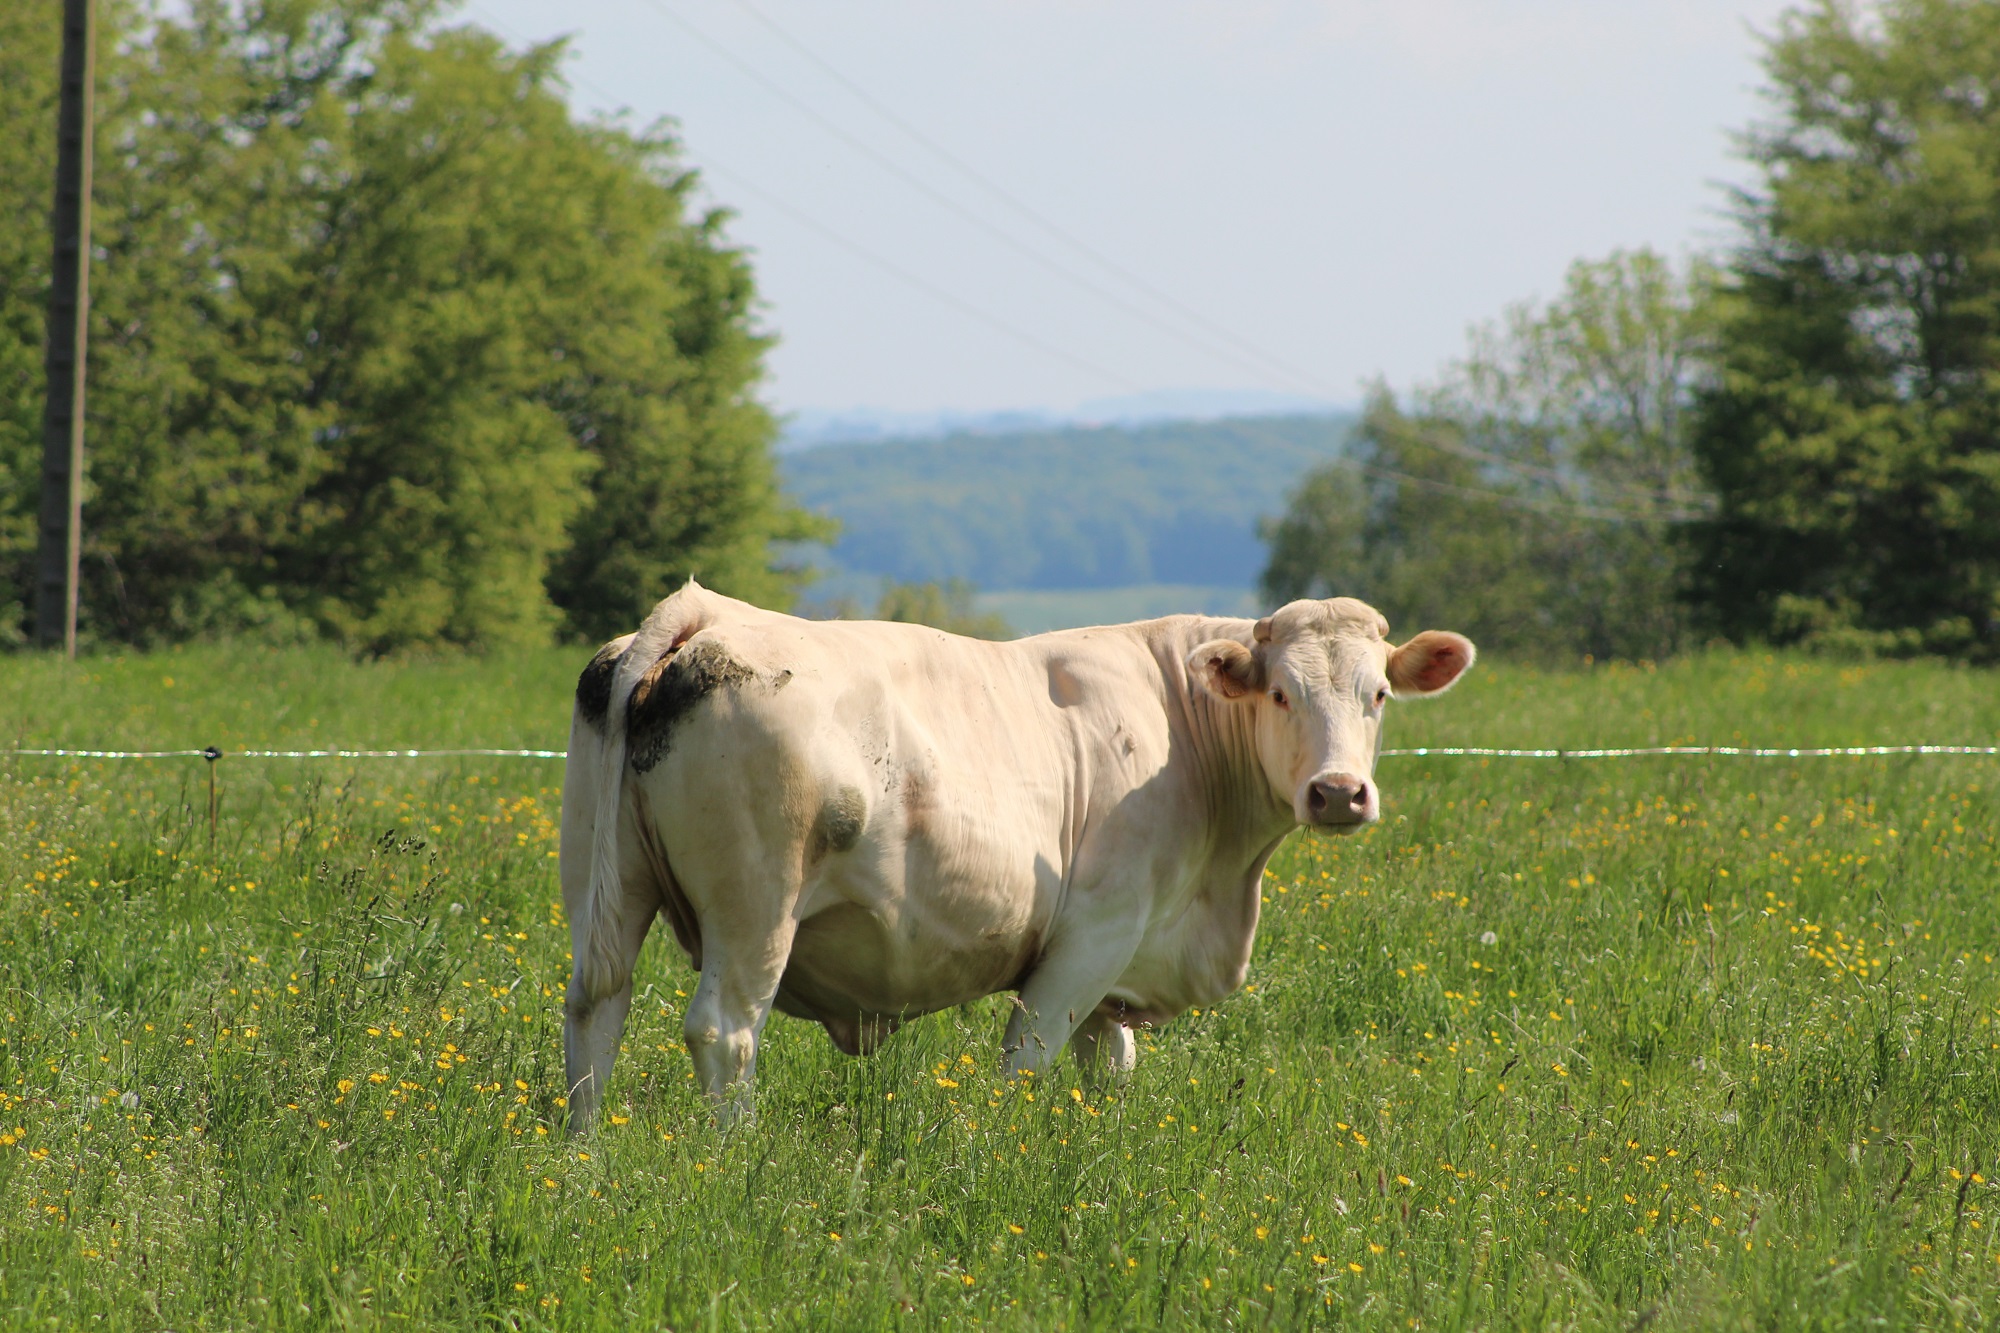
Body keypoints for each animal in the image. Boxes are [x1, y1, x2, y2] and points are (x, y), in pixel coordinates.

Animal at [560, 580, 1473, 1132]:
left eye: (1378, 695)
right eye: (1281, 693)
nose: (1338, 792)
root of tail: (704, 611)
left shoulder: (1121, 968)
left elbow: (1110, 1070)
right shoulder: (1094, 934)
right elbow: (1027, 1061)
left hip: (605, 891)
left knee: (595, 1010)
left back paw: (586, 1155)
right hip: (756, 908)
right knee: (725, 1030)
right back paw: (735, 1155)